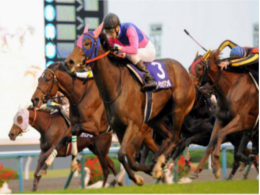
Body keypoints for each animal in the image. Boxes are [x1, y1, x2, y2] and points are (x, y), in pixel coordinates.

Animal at [31, 61, 159, 185]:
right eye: (39, 78)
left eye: (47, 79)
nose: (34, 99)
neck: (80, 95)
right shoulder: (72, 126)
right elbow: (61, 142)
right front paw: (44, 166)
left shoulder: (94, 127)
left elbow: (75, 131)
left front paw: (73, 163)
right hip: (144, 136)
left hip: (135, 133)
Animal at [64, 23, 196, 184]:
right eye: (76, 43)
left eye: (87, 43)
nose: (68, 62)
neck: (115, 86)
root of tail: (186, 72)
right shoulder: (119, 128)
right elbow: (127, 157)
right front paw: (140, 175)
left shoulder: (133, 124)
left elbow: (122, 154)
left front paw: (144, 173)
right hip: (154, 118)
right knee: (169, 137)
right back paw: (158, 162)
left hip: (179, 109)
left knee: (177, 139)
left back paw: (159, 163)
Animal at [187, 49, 258, 179]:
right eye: (190, 67)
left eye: (199, 68)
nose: (191, 87)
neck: (230, 88)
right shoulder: (220, 120)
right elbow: (211, 143)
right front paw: (196, 171)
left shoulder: (241, 121)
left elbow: (221, 133)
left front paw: (215, 164)